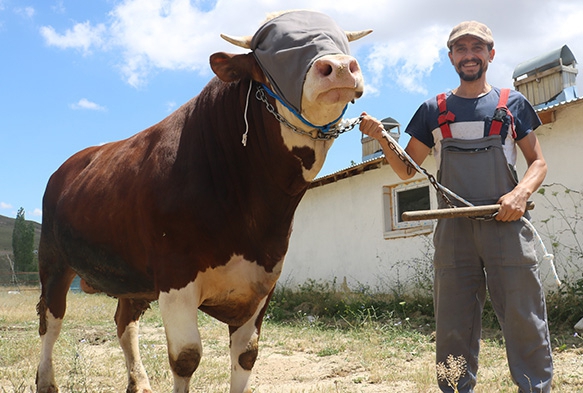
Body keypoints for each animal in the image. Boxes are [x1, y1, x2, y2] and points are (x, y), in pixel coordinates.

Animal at [36, 9, 372, 392]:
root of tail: (71, 162)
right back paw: (46, 381)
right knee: (51, 321)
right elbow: (186, 357)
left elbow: (246, 356)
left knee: (124, 322)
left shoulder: (262, 282)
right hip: (53, 259)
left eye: (342, 42)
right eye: (274, 53)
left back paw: (139, 382)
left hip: (132, 278)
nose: (341, 66)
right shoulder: (175, 278)